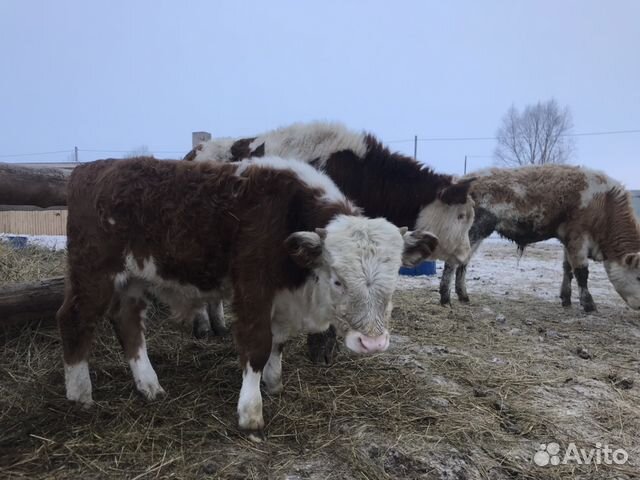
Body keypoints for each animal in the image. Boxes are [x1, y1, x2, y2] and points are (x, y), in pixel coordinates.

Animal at [185, 124, 476, 354]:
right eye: (462, 215)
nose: (466, 253)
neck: (361, 174)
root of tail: (196, 151)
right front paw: (321, 348)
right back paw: (202, 327)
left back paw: (218, 326)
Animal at [442, 164, 640, 312]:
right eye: (639, 277)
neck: (604, 203)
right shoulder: (578, 238)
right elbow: (581, 272)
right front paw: (589, 305)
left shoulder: (568, 241)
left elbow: (567, 269)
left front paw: (566, 299)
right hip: (474, 229)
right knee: (453, 261)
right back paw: (445, 298)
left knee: (464, 262)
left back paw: (463, 296)